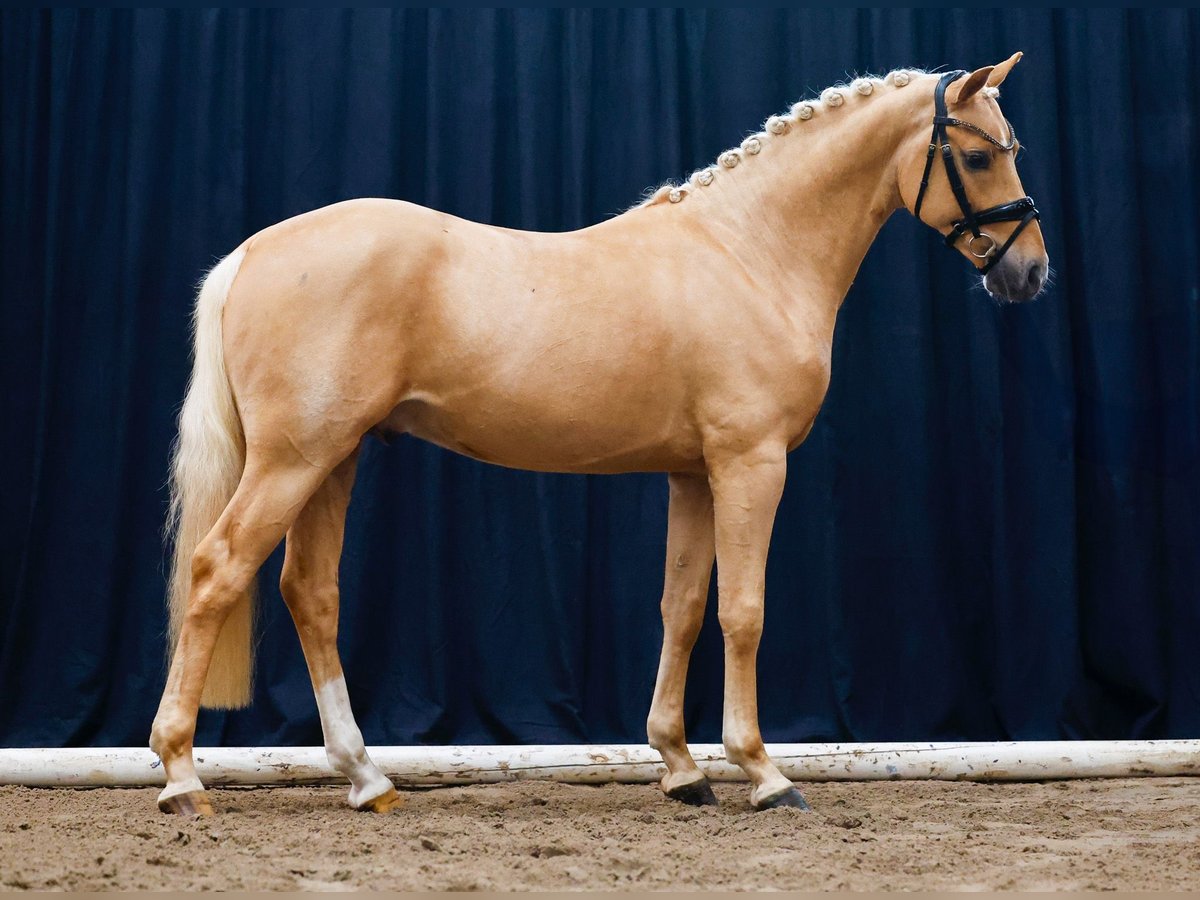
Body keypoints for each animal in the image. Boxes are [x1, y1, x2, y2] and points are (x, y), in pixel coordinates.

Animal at [152, 56, 1051, 816]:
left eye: (1010, 148)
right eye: (979, 158)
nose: (1030, 272)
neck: (747, 252)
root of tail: (251, 253)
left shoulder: (692, 474)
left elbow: (681, 609)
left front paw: (682, 769)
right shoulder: (749, 463)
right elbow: (744, 612)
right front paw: (763, 773)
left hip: (333, 460)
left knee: (311, 593)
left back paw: (366, 778)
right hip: (293, 462)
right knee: (218, 571)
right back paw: (182, 777)